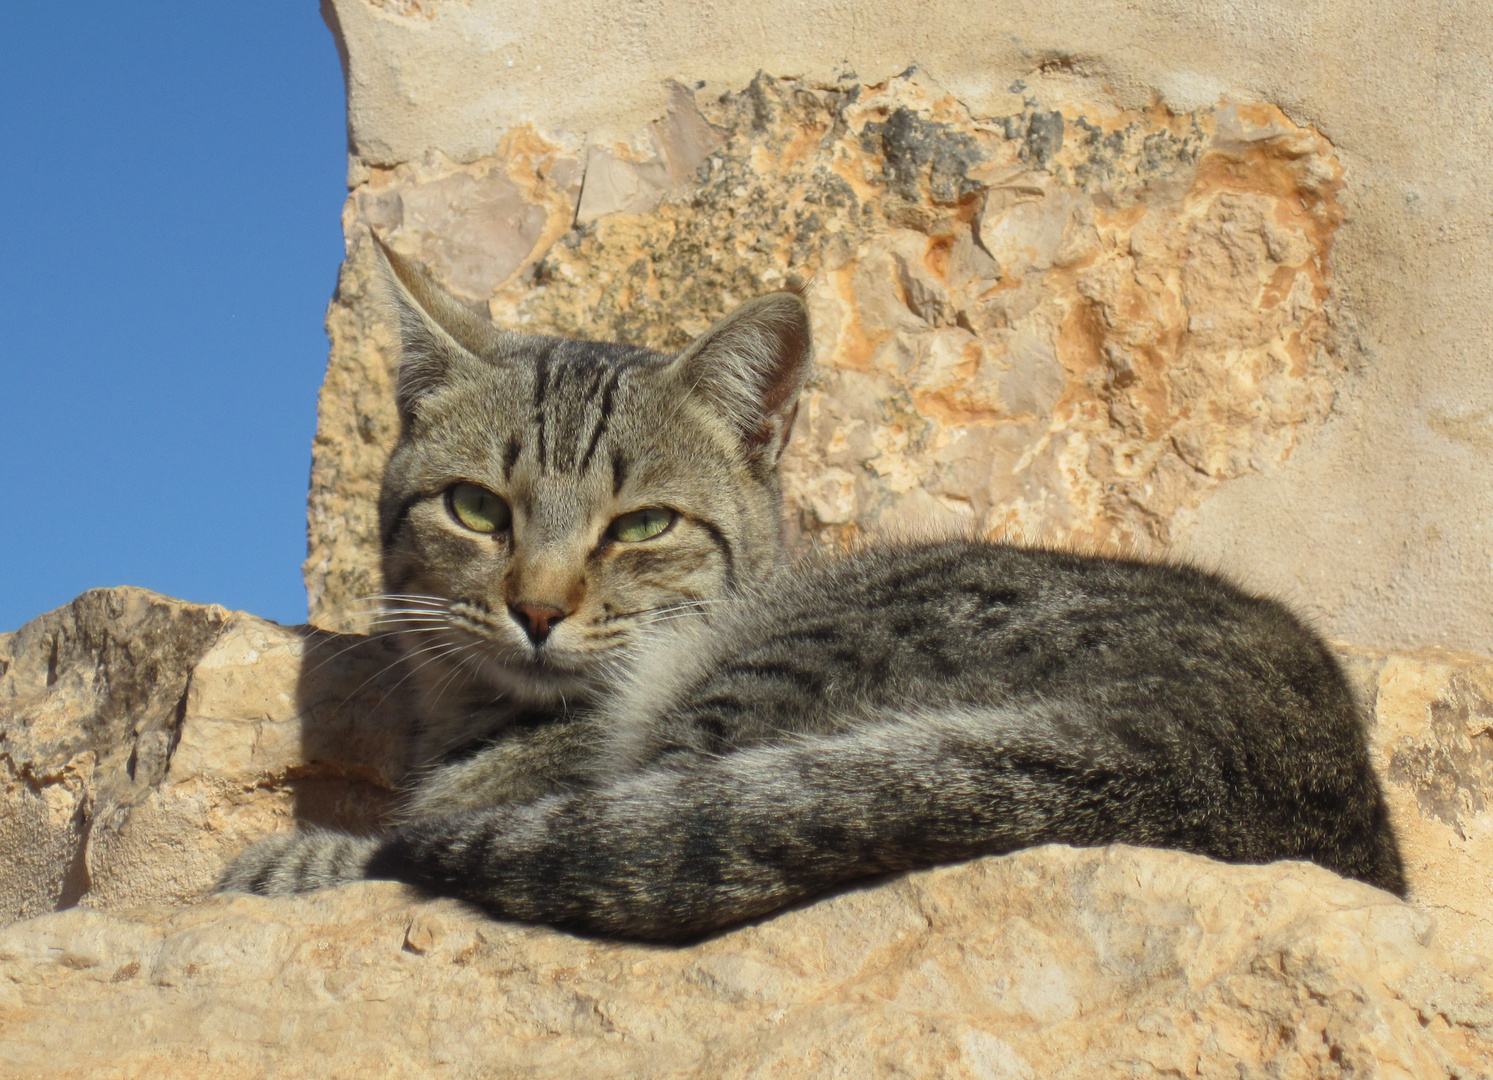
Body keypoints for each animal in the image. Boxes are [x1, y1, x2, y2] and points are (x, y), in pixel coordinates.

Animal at [217, 240, 1397, 944]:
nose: (538, 610)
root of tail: (1216, 750)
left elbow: (385, 849)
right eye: (475, 509)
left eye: (642, 525)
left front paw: (287, 860)